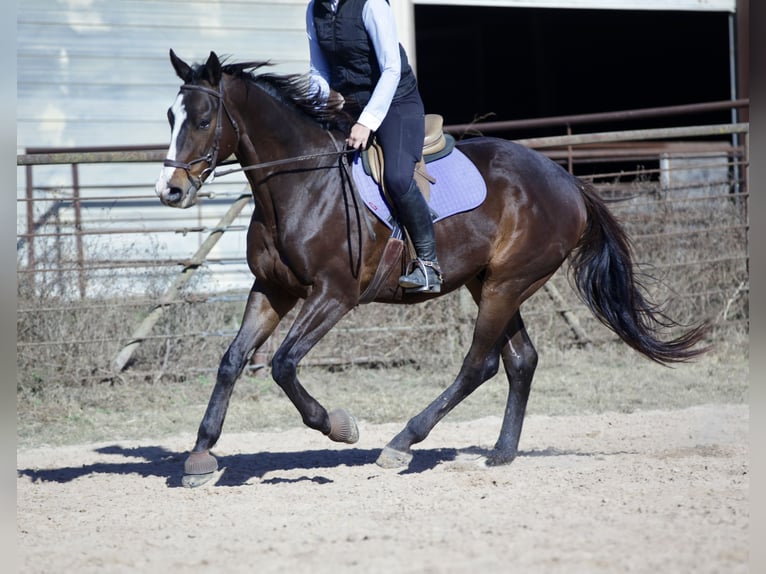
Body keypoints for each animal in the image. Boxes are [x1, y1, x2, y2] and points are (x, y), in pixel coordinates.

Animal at [155, 50, 708, 488]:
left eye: (202, 120)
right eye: (169, 116)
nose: (170, 192)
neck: (302, 183)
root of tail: (569, 181)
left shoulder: (333, 295)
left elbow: (283, 364)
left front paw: (339, 426)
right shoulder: (272, 289)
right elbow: (232, 360)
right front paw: (201, 456)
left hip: (507, 283)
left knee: (480, 364)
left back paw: (402, 443)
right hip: (491, 284)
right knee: (521, 360)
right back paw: (500, 454)